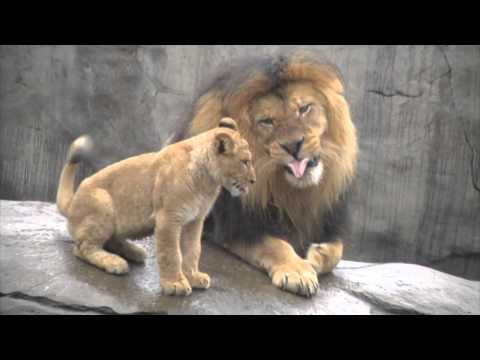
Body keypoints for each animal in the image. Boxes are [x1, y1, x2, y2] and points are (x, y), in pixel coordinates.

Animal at [56, 118, 256, 296]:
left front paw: (193, 276)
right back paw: (114, 262)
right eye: (245, 161)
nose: (254, 181)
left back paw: (134, 252)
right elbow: (171, 252)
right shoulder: (169, 218)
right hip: (102, 203)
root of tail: (72, 203)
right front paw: (175, 284)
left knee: (109, 240)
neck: (207, 182)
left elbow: (193, 250)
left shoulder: (194, 220)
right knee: (82, 248)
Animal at [180, 51, 356, 298]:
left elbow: (338, 249)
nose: (293, 146)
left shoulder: (330, 220)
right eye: (267, 121)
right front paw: (298, 272)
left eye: (304, 109)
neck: (292, 193)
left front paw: (317, 255)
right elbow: (275, 245)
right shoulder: (237, 227)